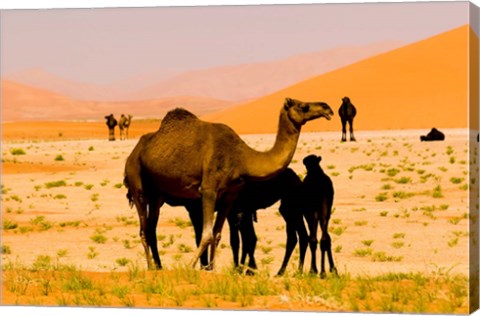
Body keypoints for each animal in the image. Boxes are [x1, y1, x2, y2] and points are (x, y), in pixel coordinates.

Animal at [124, 98, 334, 270]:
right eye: (303, 106)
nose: (327, 107)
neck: (242, 158)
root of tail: (134, 152)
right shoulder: (208, 189)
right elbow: (207, 234)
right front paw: (191, 266)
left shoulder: (230, 195)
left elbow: (217, 234)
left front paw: (212, 270)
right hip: (137, 183)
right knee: (143, 228)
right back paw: (150, 268)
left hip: (157, 195)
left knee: (151, 228)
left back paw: (158, 267)